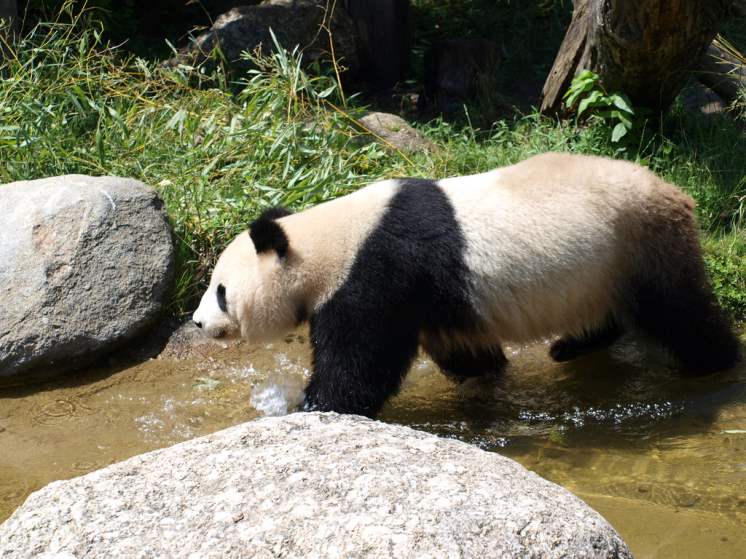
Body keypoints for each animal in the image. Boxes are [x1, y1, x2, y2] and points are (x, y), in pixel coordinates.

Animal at [192, 152, 740, 416]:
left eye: (220, 290)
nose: (197, 323)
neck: (328, 241)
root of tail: (676, 191)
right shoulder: (437, 300)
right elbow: (463, 350)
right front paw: (483, 378)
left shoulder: (380, 272)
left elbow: (360, 361)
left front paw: (310, 406)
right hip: (606, 263)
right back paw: (570, 347)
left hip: (638, 240)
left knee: (677, 310)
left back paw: (714, 364)